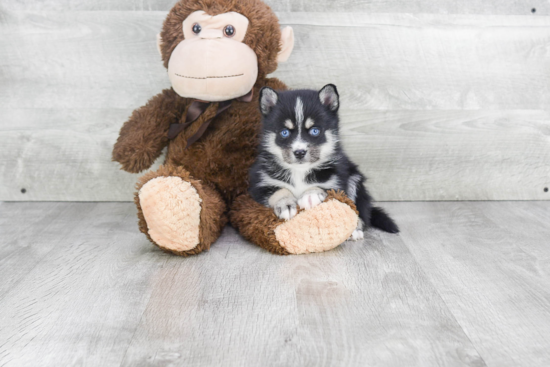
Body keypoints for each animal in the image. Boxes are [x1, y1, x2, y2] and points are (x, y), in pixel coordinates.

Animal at [250, 83, 402, 240]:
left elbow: (322, 186)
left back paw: (355, 229)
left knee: (360, 211)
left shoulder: (337, 179)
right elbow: (279, 190)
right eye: (284, 132)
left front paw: (311, 195)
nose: (299, 152)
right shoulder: (259, 182)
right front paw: (285, 204)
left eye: (315, 131)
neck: (299, 171)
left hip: (355, 179)